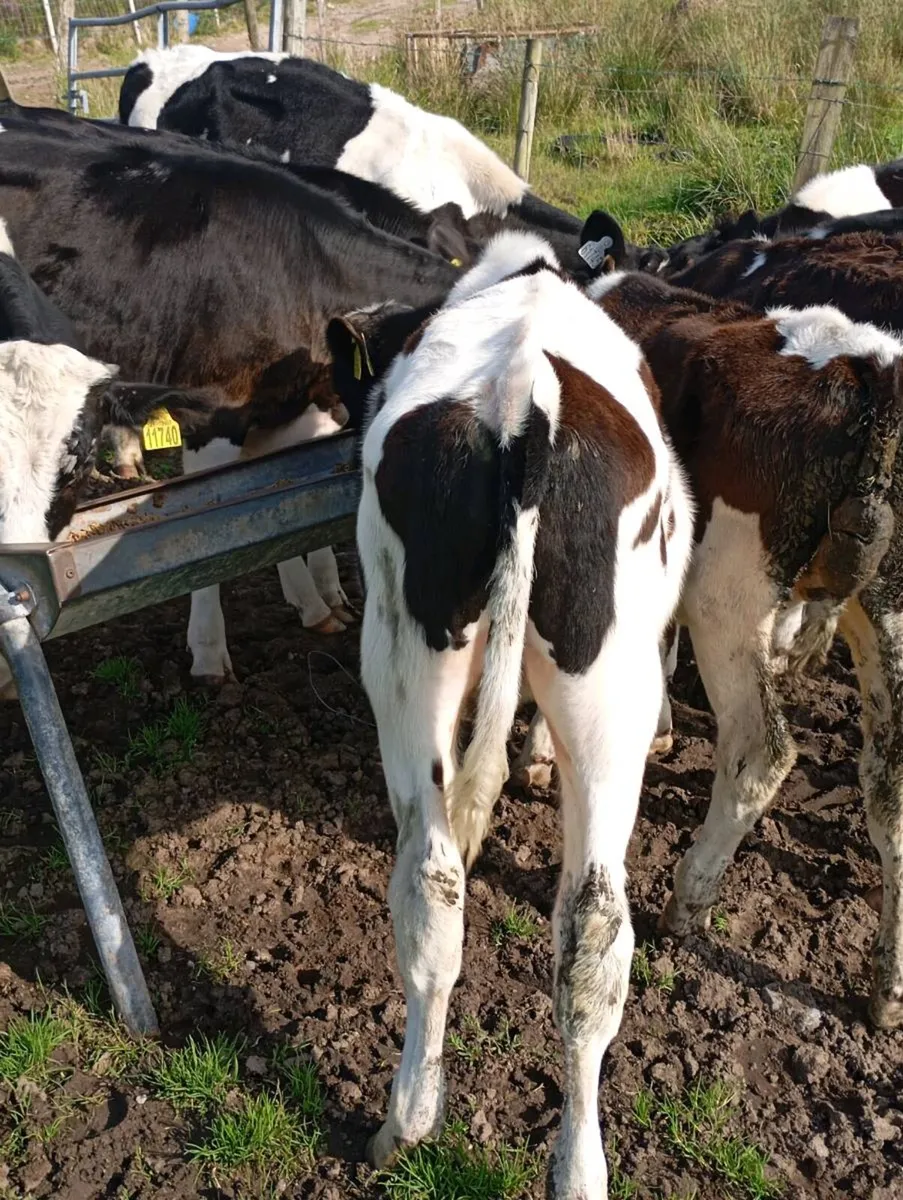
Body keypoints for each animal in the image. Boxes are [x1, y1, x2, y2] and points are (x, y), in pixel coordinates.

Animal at [0, 121, 460, 681]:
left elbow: (276, 508)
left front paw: (315, 602)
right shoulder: (213, 414)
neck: (300, 268)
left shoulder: (293, 412)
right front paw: (209, 650)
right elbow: (209, 529)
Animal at [326, 231, 694, 1199]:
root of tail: (525, 399)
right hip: (591, 686)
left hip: (423, 659)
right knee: (582, 922)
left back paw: (416, 1125)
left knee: (451, 887)